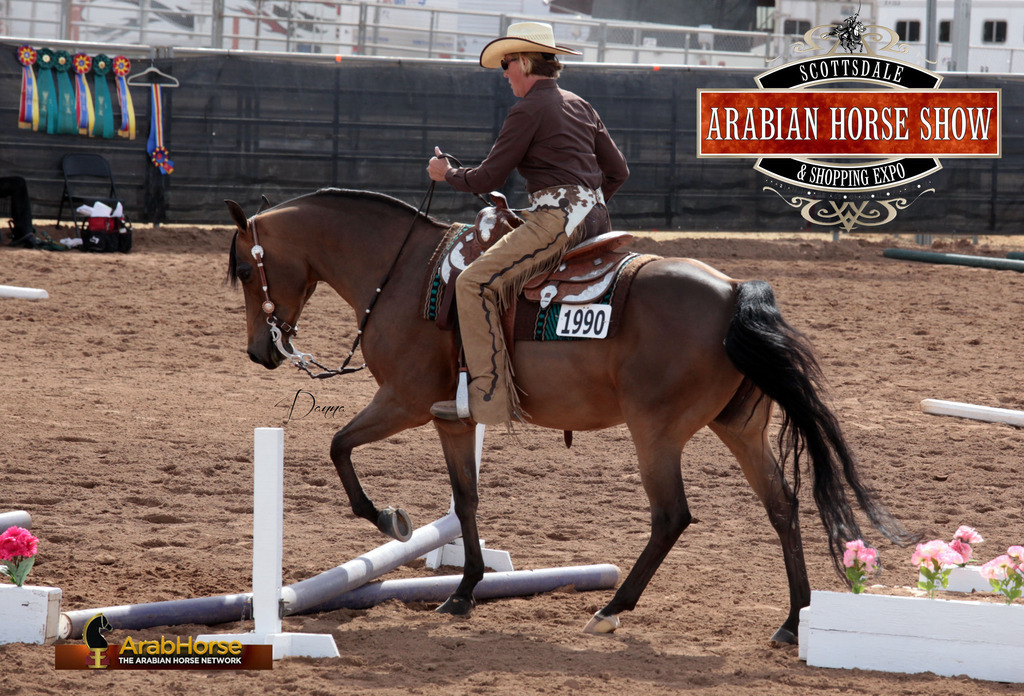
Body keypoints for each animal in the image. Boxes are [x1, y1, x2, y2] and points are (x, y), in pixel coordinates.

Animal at [224, 188, 914, 643]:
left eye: (244, 271)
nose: (259, 351)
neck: (406, 276)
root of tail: (733, 293)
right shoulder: (453, 420)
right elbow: (466, 502)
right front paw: (465, 590)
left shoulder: (405, 401)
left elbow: (339, 446)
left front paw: (390, 521)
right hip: (739, 429)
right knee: (783, 506)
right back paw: (793, 621)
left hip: (656, 431)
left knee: (672, 517)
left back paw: (613, 608)